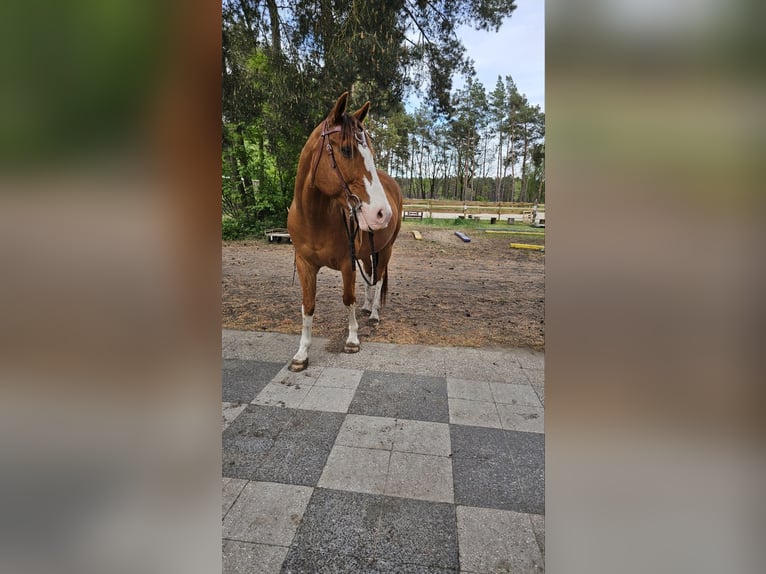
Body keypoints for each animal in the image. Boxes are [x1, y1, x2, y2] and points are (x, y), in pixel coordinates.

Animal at [286, 92, 403, 372]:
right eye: (347, 149)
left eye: (371, 152)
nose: (382, 213)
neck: (314, 218)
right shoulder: (305, 264)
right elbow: (308, 305)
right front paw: (302, 353)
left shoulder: (346, 263)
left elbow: (348, 297)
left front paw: (352, 339)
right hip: (367, 252)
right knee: (370, 276)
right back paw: (368, 306)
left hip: (385, 249)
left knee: (378, 278)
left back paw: (374, 314)